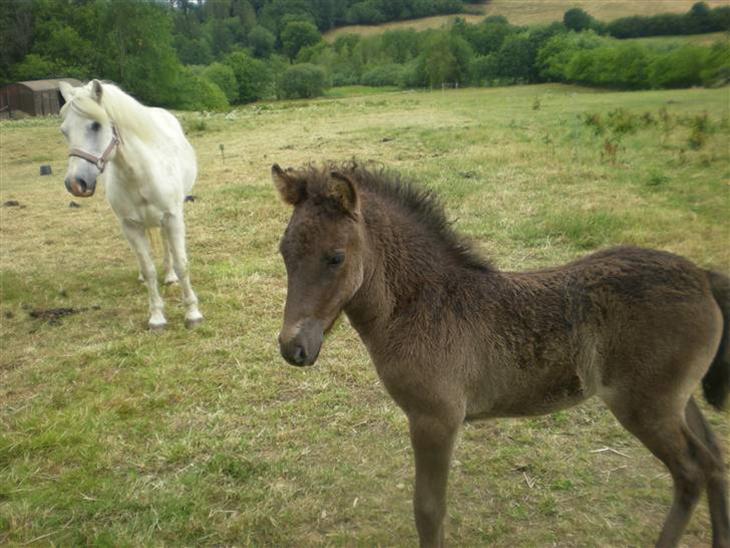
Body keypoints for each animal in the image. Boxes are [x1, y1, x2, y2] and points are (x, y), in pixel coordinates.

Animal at [58, 80, 203, 330]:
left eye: (96, 125)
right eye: (64, 131)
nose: (75, 183)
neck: (139, 173)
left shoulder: (173, 217)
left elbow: (182, 264)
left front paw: (192, 313)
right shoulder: (130, 225)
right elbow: (148, 269)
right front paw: (156, 317)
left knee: (167, 245)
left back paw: (170, 276)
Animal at [271, 162, 730, 548]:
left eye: (336, 257)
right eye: (284, 252)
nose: (294, 348)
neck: (423, 305)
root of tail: (702, 277)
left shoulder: (435, 419)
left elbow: (429, 511)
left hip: (645, 406)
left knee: (691, 471)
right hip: (675, 398)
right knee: (712, 455)